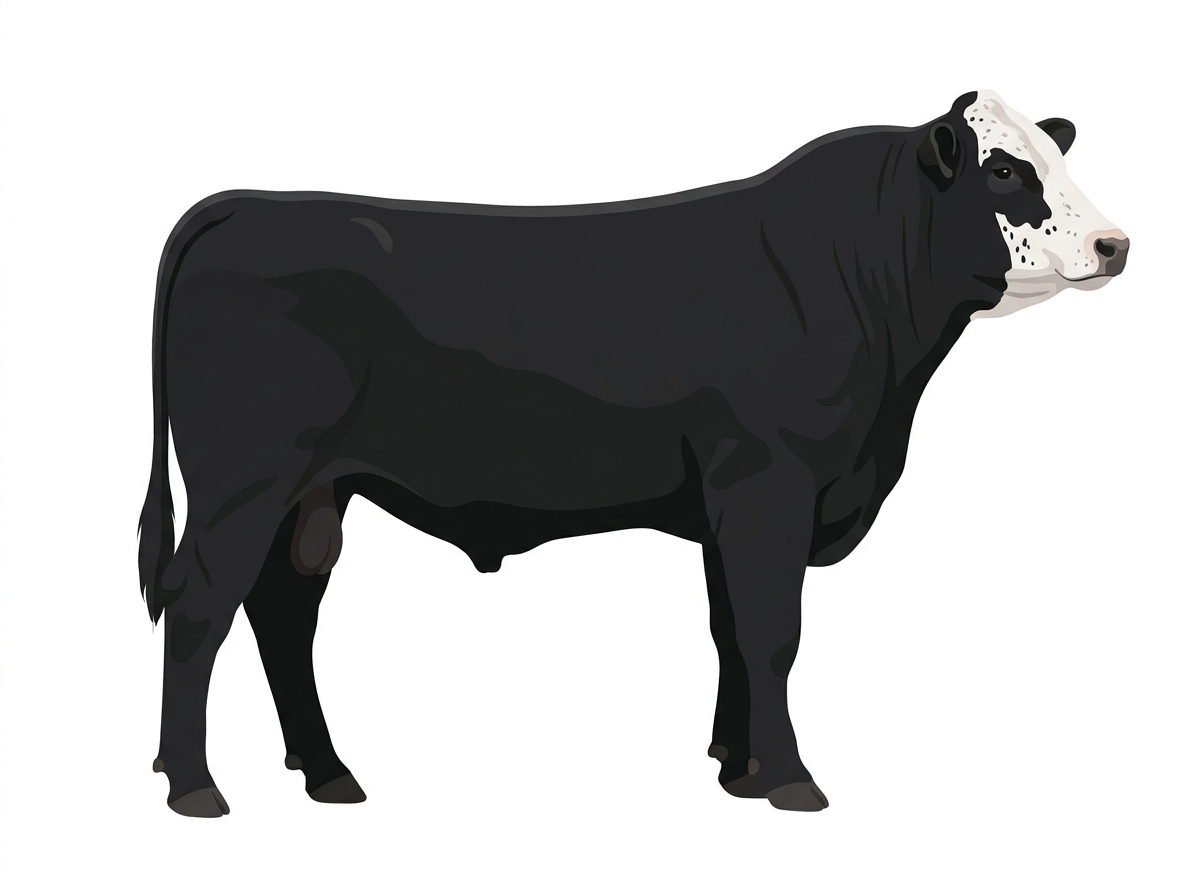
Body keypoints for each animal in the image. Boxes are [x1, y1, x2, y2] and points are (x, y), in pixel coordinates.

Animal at [138, 90, 1128, 816]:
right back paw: (193, 786)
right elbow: (772, 635)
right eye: (1003, 170)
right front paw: (792, 781)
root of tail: (237, 206)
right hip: (244, 481)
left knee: (281, 612)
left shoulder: (734, 503)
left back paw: (328, 774)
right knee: (199, 606)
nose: (1113, 243)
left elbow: (732, 631)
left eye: (1057, 157)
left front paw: (739, 769)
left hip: (313, 493)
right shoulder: (770, 483)